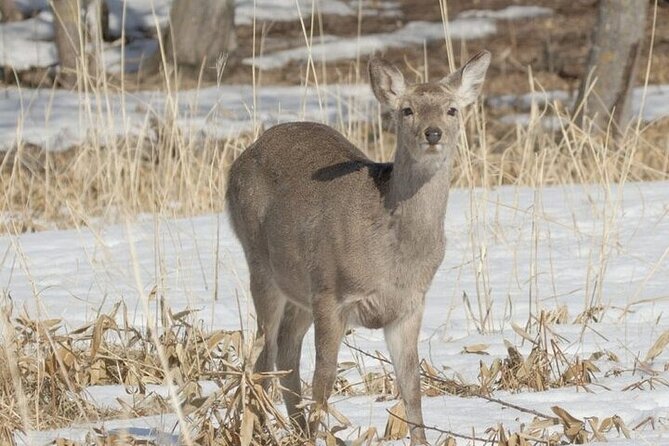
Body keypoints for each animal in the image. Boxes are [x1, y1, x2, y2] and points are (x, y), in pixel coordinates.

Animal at [226, 50, 490, 444]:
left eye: (452, 109)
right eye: (407, 110)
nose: (433, 133)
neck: (394, 254)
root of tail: (242, 157)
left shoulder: (408, 307)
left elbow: (412, 386)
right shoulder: (330, 293)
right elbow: (324, 380)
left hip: (299, 287)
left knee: (285, 348)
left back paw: (296, 429)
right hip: (261, 263)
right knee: (263, 352)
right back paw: (261, 429)